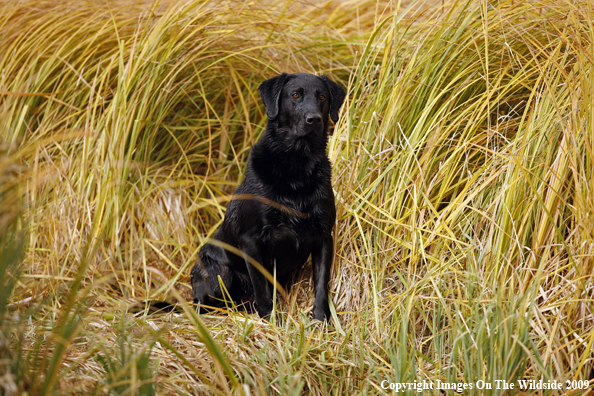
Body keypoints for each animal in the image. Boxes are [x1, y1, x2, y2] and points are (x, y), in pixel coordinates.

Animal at [192, 72, 344, 322]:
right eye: (295, 95)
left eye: (322, 96)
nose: (313, 119)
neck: (296, 168)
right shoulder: (251, 240)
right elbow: (262, 288)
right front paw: (271, 321)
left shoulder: (324, 236)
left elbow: (322, 285)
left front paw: (322, 320)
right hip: (219, 273)